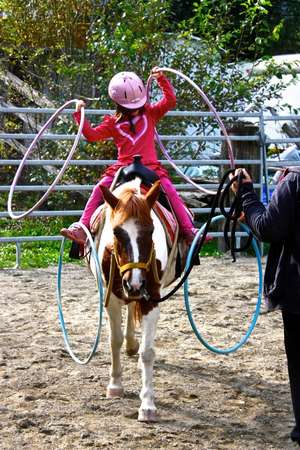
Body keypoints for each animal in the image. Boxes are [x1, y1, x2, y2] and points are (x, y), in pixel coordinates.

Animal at [90, 178, 177, 422]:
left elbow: (147, 352)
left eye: (151, 230)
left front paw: (147, 404)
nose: (135, 282)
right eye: (117, 232)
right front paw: (115, 385)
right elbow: (115, 340)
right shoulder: (111, 298)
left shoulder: (152, 298)